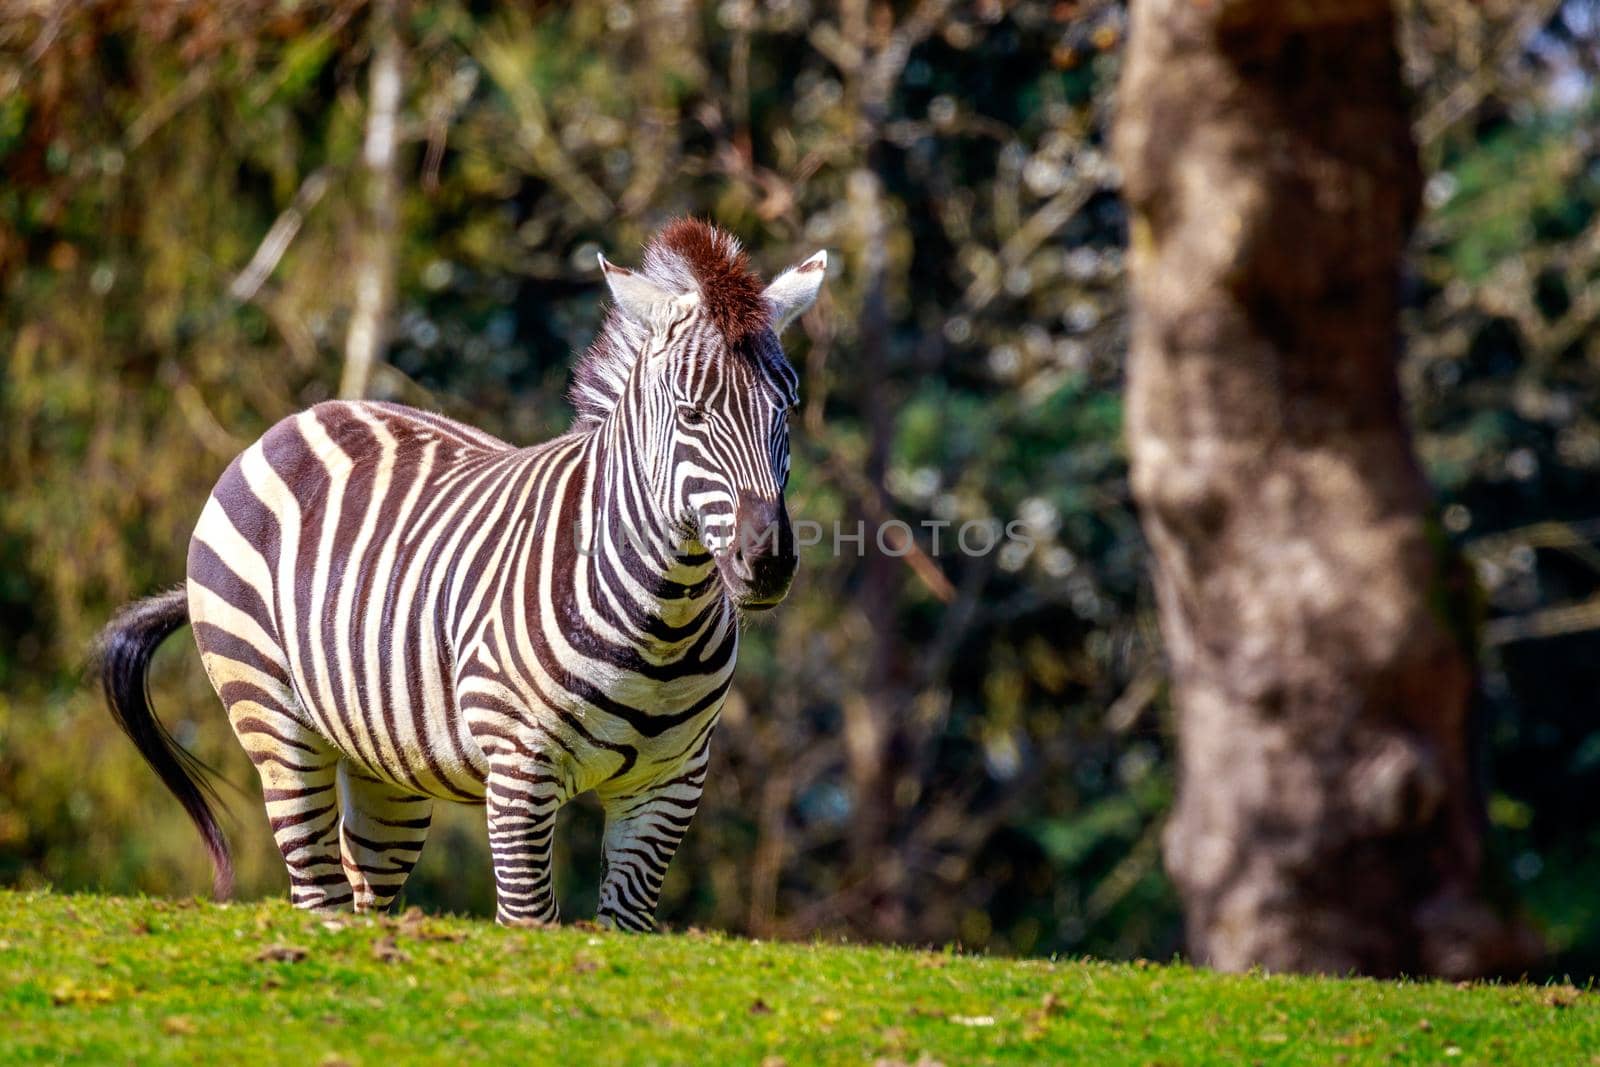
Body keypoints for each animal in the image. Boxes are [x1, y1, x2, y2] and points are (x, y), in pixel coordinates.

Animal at [96, 220, 825, 927]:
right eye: (691, 413)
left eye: (787, 407)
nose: (767, 562)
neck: (662, 625)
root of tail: (303, 417)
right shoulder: (520, 770)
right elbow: (529, 919)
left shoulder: (669, 784)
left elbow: (626, 925)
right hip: (272, 714)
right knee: (316, 887)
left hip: (385, 759)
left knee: (363, 890)